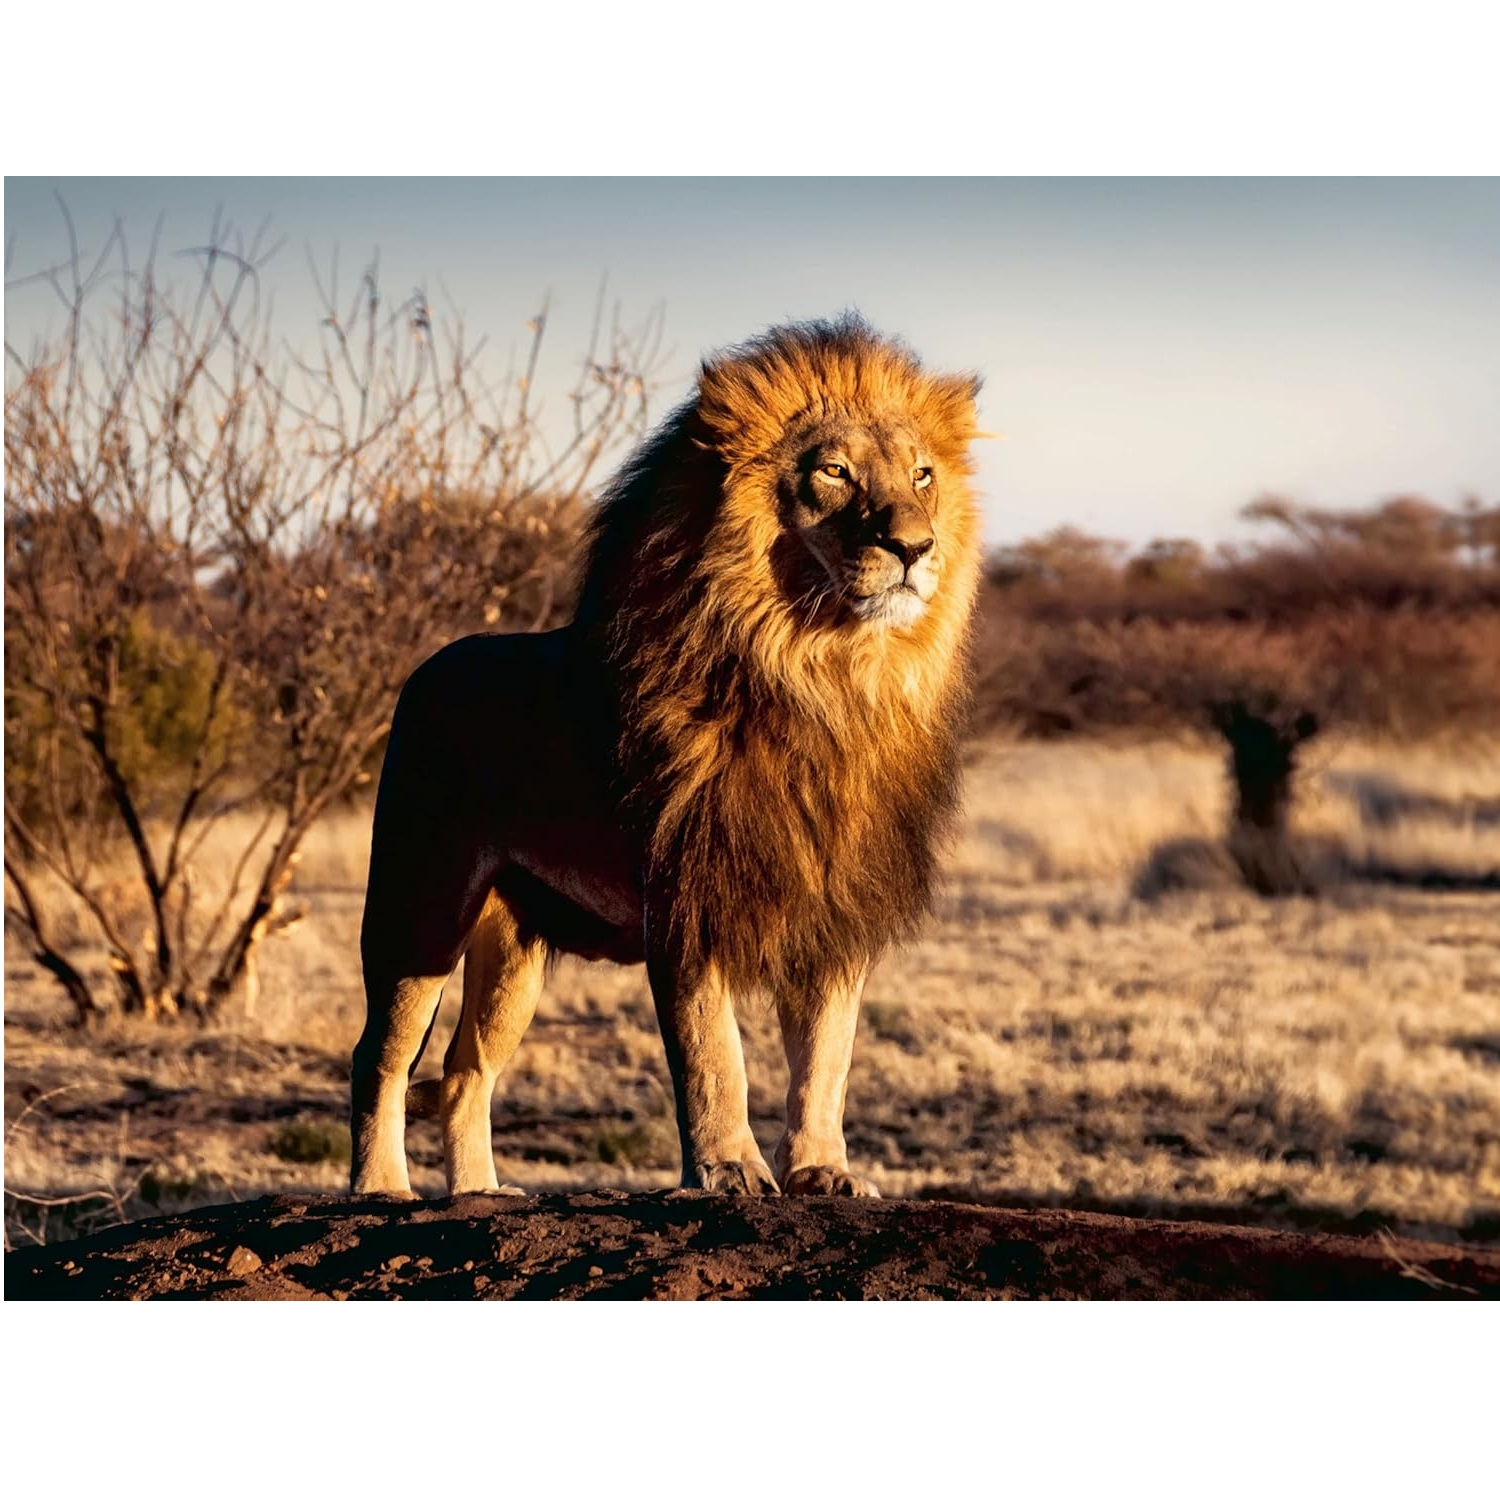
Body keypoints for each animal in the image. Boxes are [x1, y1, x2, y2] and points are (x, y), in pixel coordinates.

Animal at [349, 315, 984, 1199]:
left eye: (923, 475)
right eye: (833, 472)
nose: (916, 546)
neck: (822, 678)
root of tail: (427, 667)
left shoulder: (834, 905)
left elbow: (826, 1057)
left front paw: (822, 1171)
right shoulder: (686, 895)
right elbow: (714, 1054)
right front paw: (728, 1170)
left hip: (512, 951)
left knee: (466, 1070)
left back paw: (479, 1192)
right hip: (420, 907)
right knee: (379, 1055)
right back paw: (380, 1188)